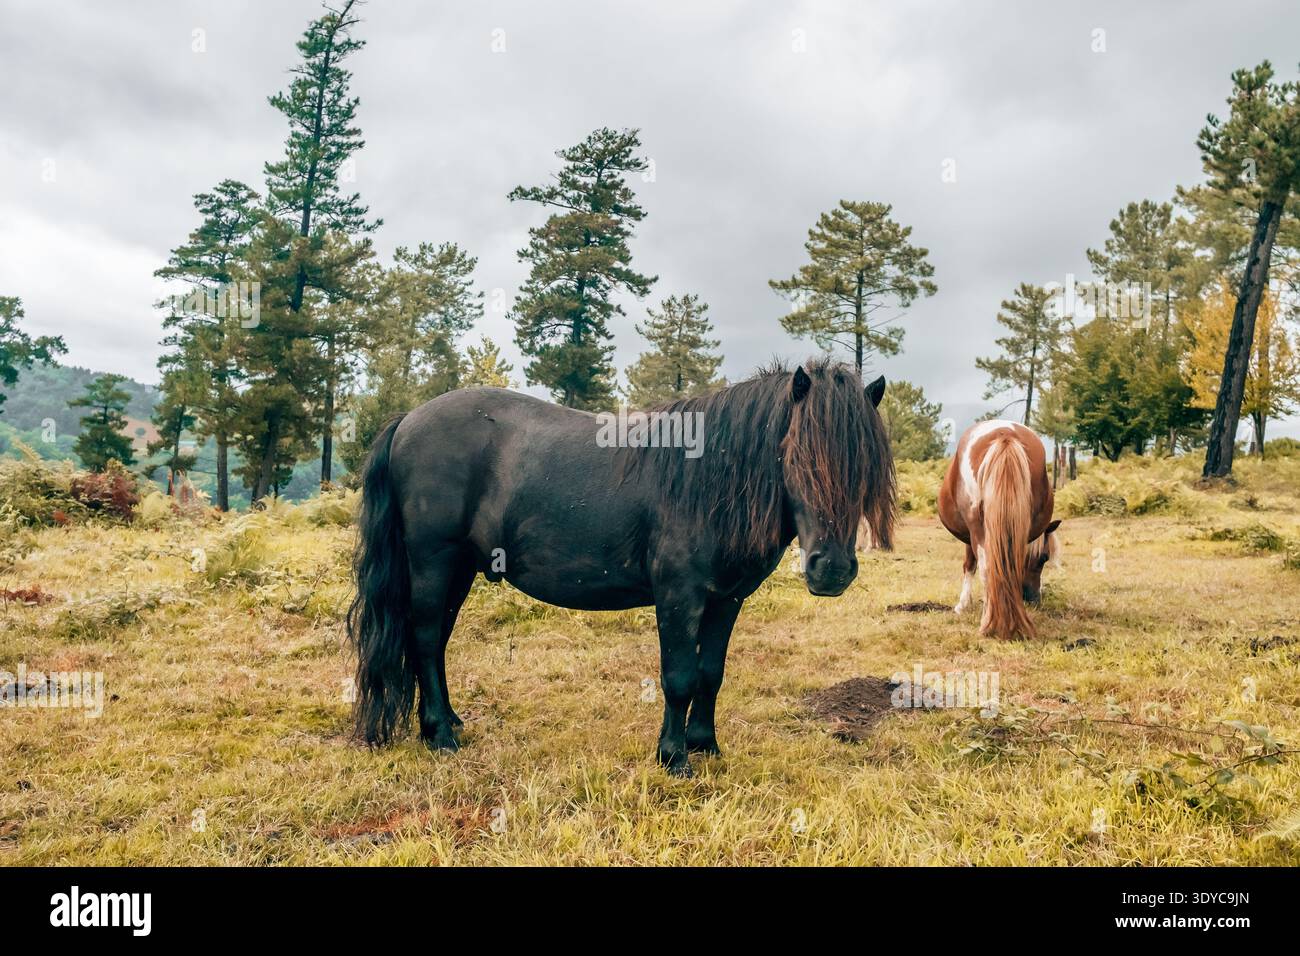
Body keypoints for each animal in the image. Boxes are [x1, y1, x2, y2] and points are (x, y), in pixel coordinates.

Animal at [347, 359, 895, 777]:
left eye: (866, 464)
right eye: (798, 458)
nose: (832, 570)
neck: (709, 478)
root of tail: (409, 419)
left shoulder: (726, 599)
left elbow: (711, 673)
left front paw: (705, 745)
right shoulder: (679, 595)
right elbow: (679, 676)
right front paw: (674, 758)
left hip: (459, 569)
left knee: (435, 641)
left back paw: (448, 721)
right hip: (433, 562)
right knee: (423, 639)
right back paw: (439, 735)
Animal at [937, 420, 1060, 639]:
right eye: (1044, 558)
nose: (1034, 599)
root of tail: (1005, 434)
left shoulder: (971, 536)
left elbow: (969, 565)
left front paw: (963, 605)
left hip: (979, 530)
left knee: (987, 569)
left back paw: (989, 621)